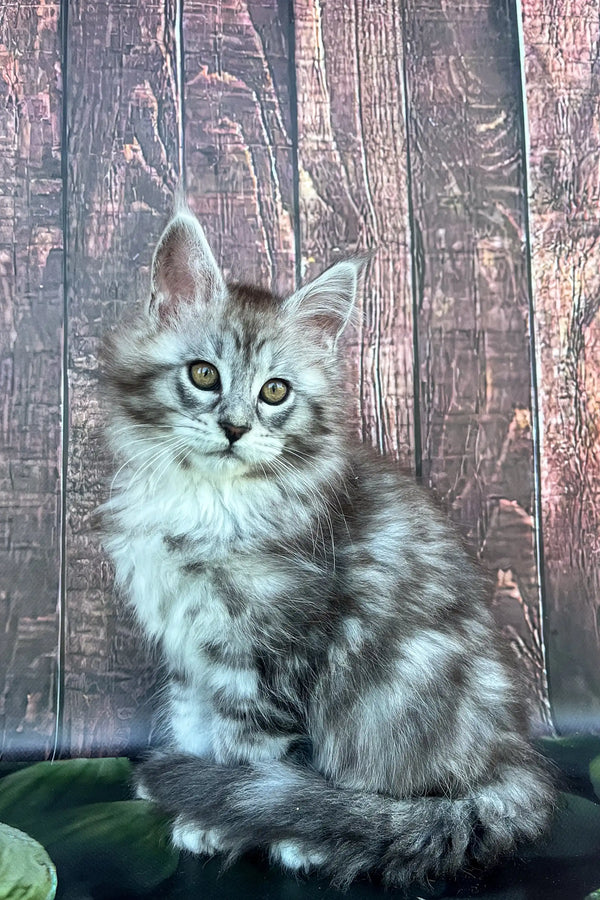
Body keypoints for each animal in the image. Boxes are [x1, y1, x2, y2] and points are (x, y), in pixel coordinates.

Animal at [101, 207, 556, 888]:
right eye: (204, 374)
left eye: (275, 392)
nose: (235, 427)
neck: (211, 500)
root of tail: (514, 764)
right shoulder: (190, 650)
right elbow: (196, 730)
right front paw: (198, 804)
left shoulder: (267, 654)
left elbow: (250, 762)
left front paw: (220, 821)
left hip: (391, 698)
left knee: (378, 808)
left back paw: (311, 838)